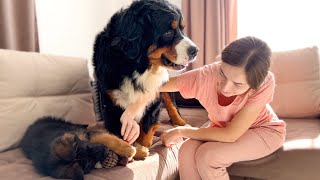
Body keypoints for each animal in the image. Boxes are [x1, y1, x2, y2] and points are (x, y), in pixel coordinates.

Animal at [90, 0, 198, 155]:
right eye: (168, 32)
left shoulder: (154, 95)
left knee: (171, 103)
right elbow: (120, 131)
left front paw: (143, 147)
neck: (137, 67)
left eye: (182, 29)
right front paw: (130, 149)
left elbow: (146, 129)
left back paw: (181, 123)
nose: (195, 50)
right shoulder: (110, 103)